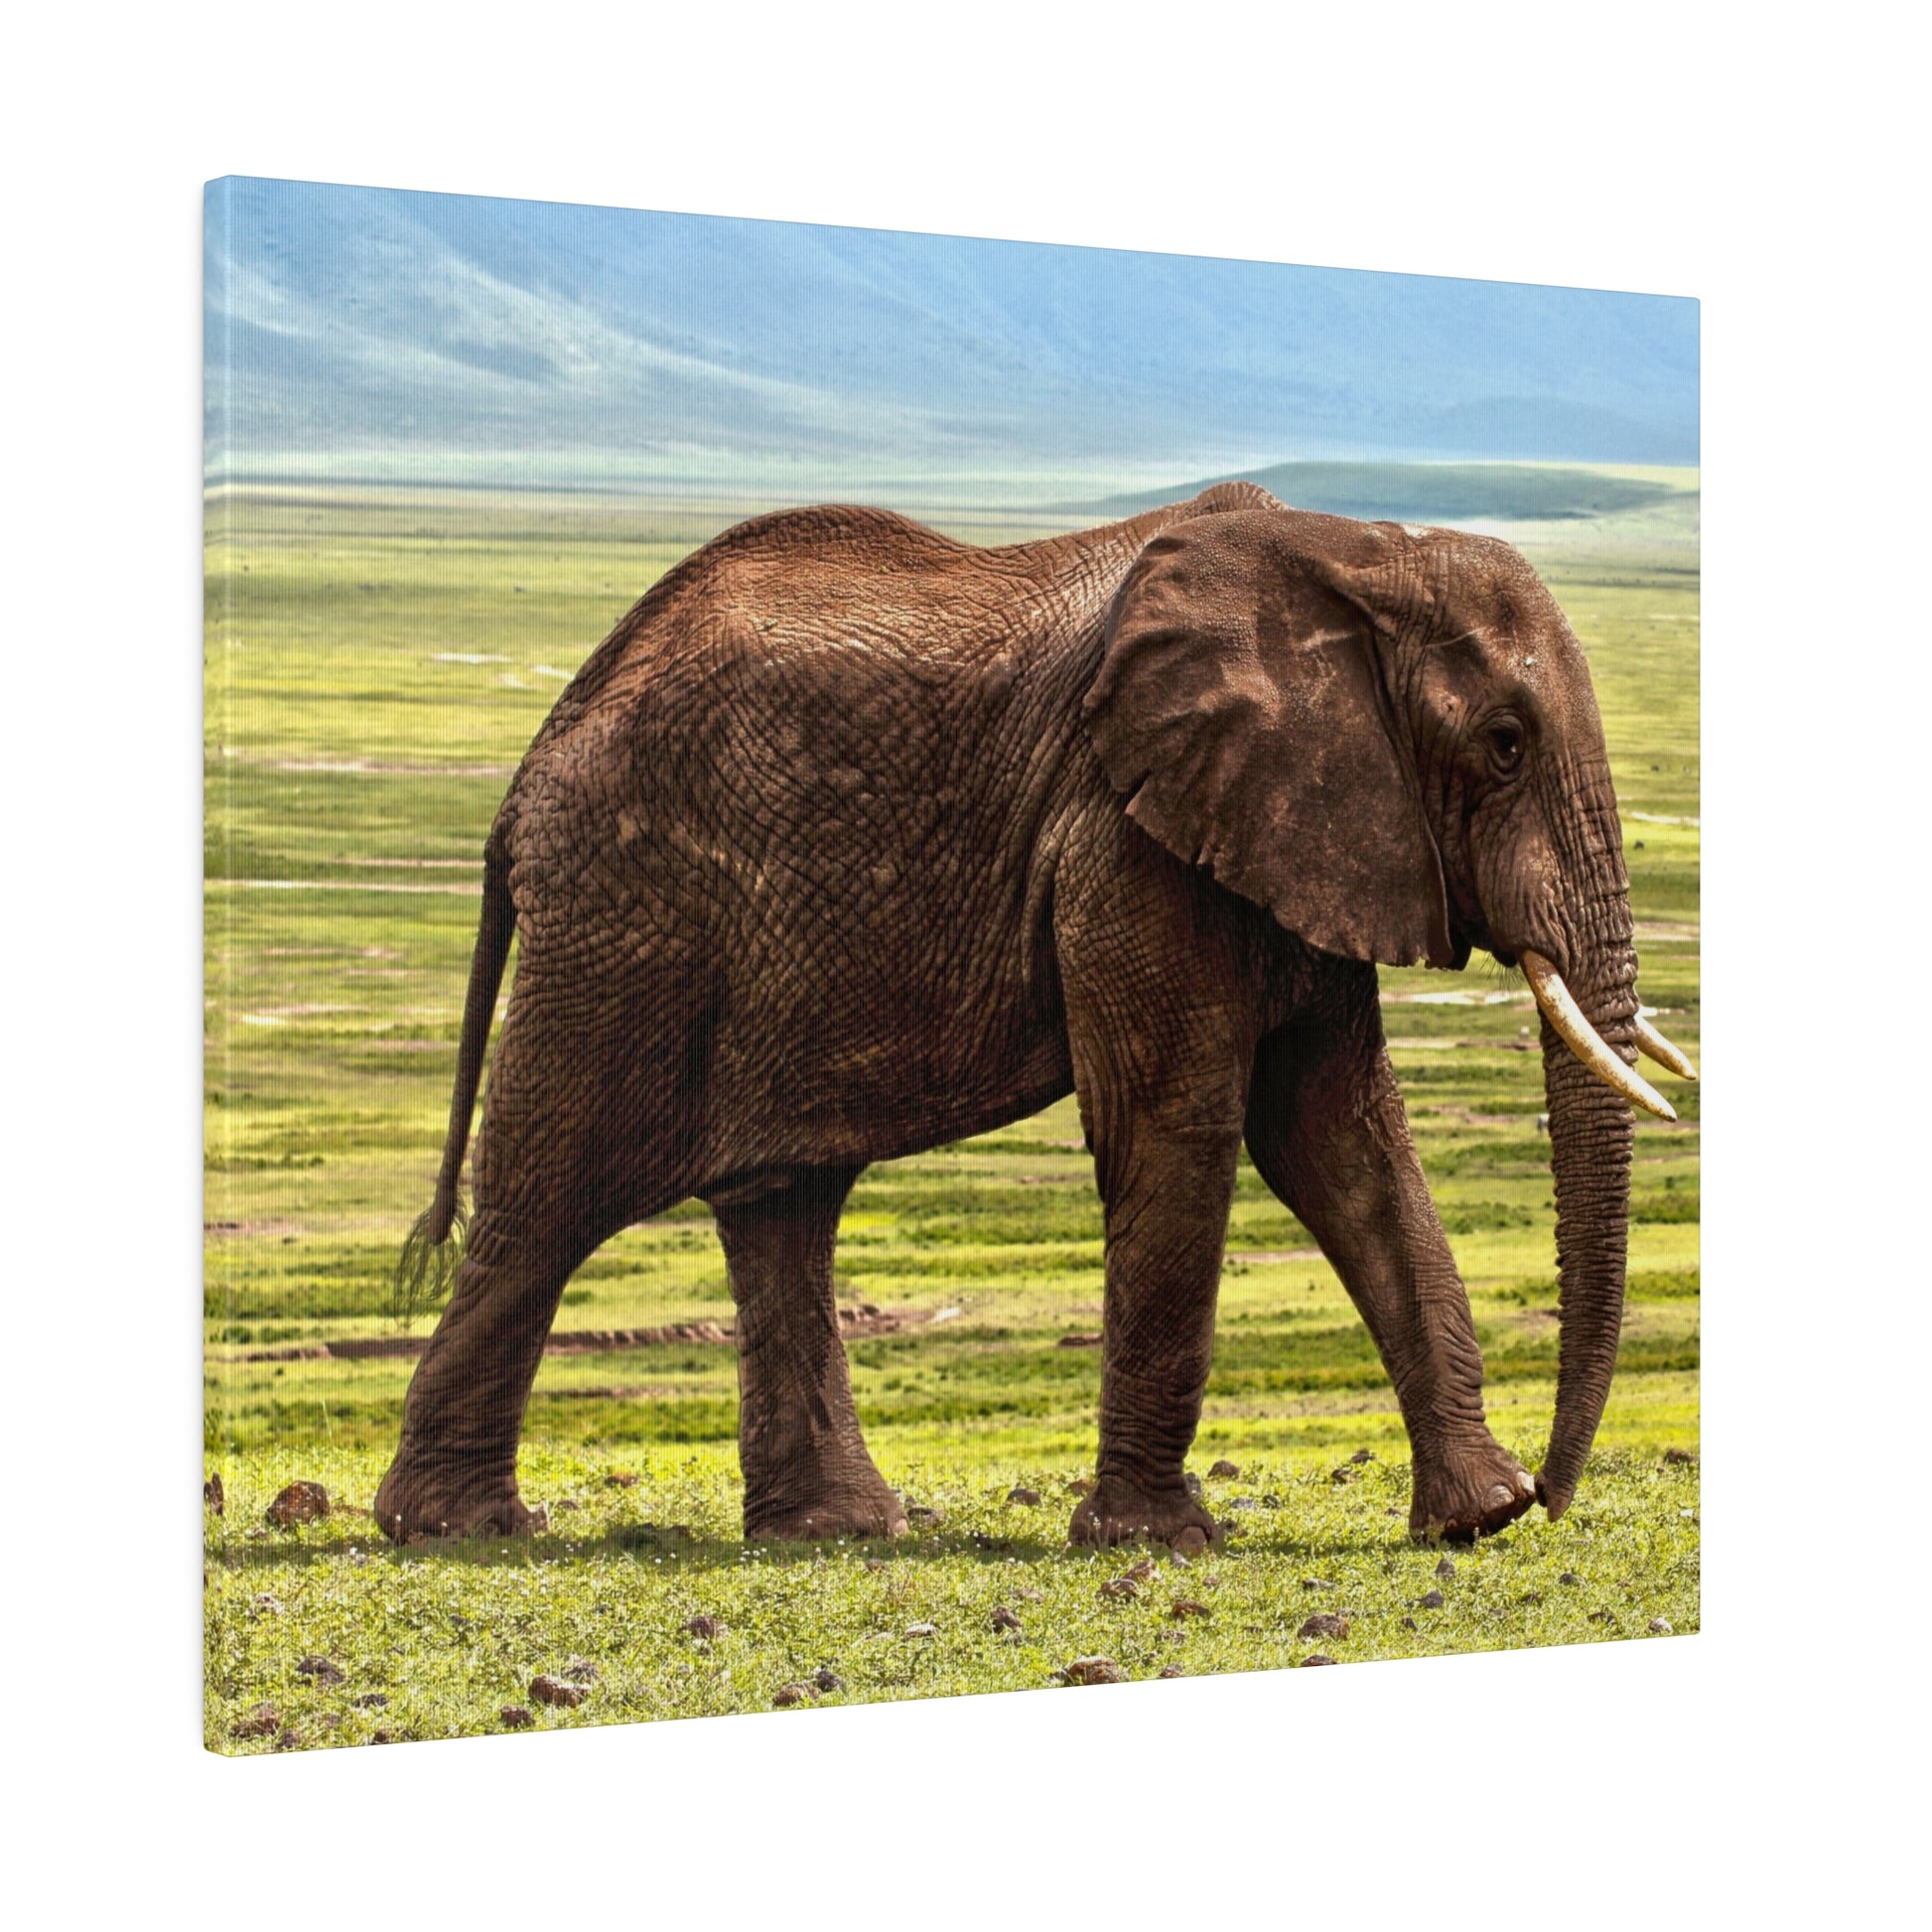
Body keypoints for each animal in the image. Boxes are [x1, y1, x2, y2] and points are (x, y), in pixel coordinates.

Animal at [373, 480, 1695, 1549]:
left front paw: (1476, 1517)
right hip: (627, 921)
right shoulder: (1124, 837)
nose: (1556, 1496)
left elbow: (1342, 1141)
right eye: (1504, 744)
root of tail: (532, 763)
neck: (1355, 551)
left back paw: (835, 1530)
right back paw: (456, 1528)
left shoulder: (1301, 833)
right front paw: (1155, 1541)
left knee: (782, 1203)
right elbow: (1179, 1127)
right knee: (548, 1198)